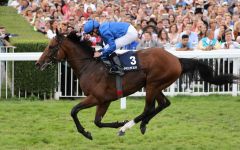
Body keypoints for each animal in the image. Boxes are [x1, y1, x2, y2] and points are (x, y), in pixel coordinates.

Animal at [35, 31, 238, 140]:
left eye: (51, 47)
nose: (38, 63)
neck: (89, 66)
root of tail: (176, 59)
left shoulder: (98, 98)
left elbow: (74, 111)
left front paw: (89, 132)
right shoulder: (104, 101)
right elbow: (98, 122)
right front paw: (112, 124)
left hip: (153, 84)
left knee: (149, 108)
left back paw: (127, 127)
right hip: (155, 85)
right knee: (163, 104)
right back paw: (142, 125)